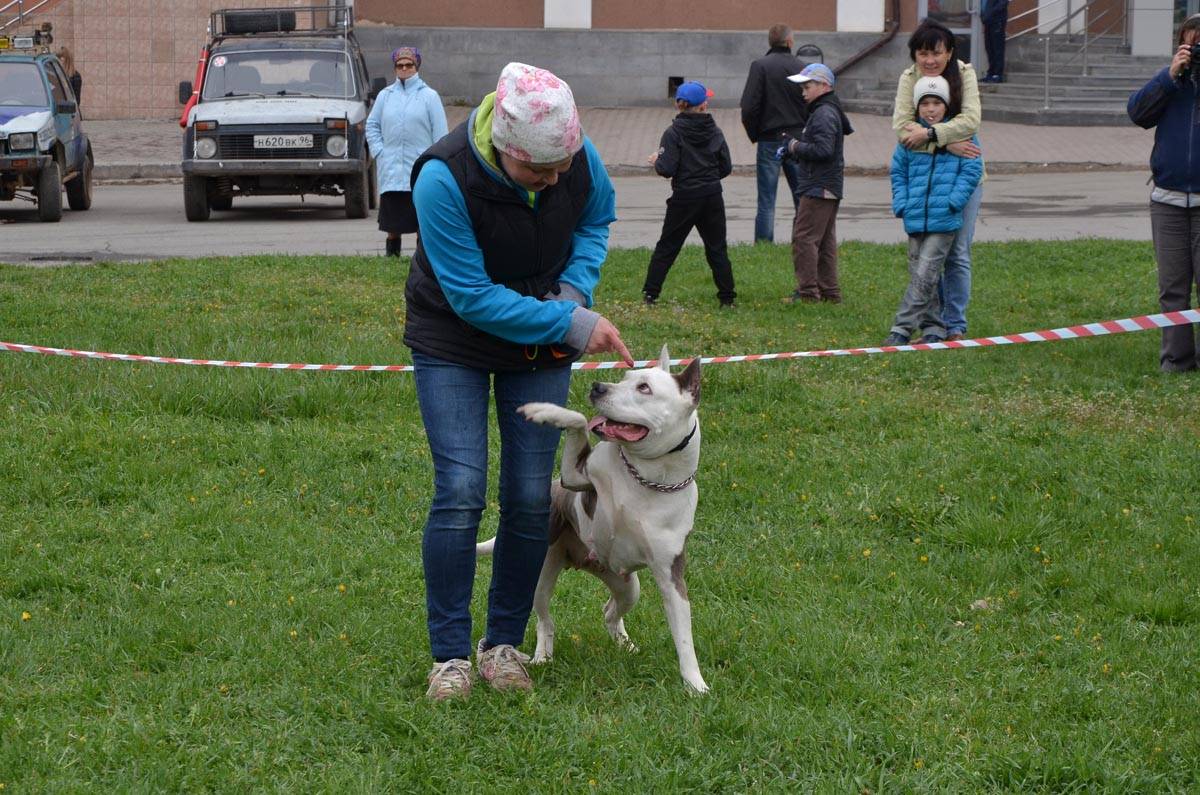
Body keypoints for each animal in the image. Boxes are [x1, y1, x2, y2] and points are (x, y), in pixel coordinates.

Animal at [475, 345, 705, 696]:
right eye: (625, 377)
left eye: (644, 388)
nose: (598, 387)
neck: (646, 475)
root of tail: (583, 562)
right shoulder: (575, 476)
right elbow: (580, 420)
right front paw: (547, 411)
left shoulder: (670, 574)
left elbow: (684, 634)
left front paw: (696, 684)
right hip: (542, 572)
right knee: (545, 620)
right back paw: (543, 656)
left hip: (628, 586)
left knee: (610, 612)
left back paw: (626, 645)